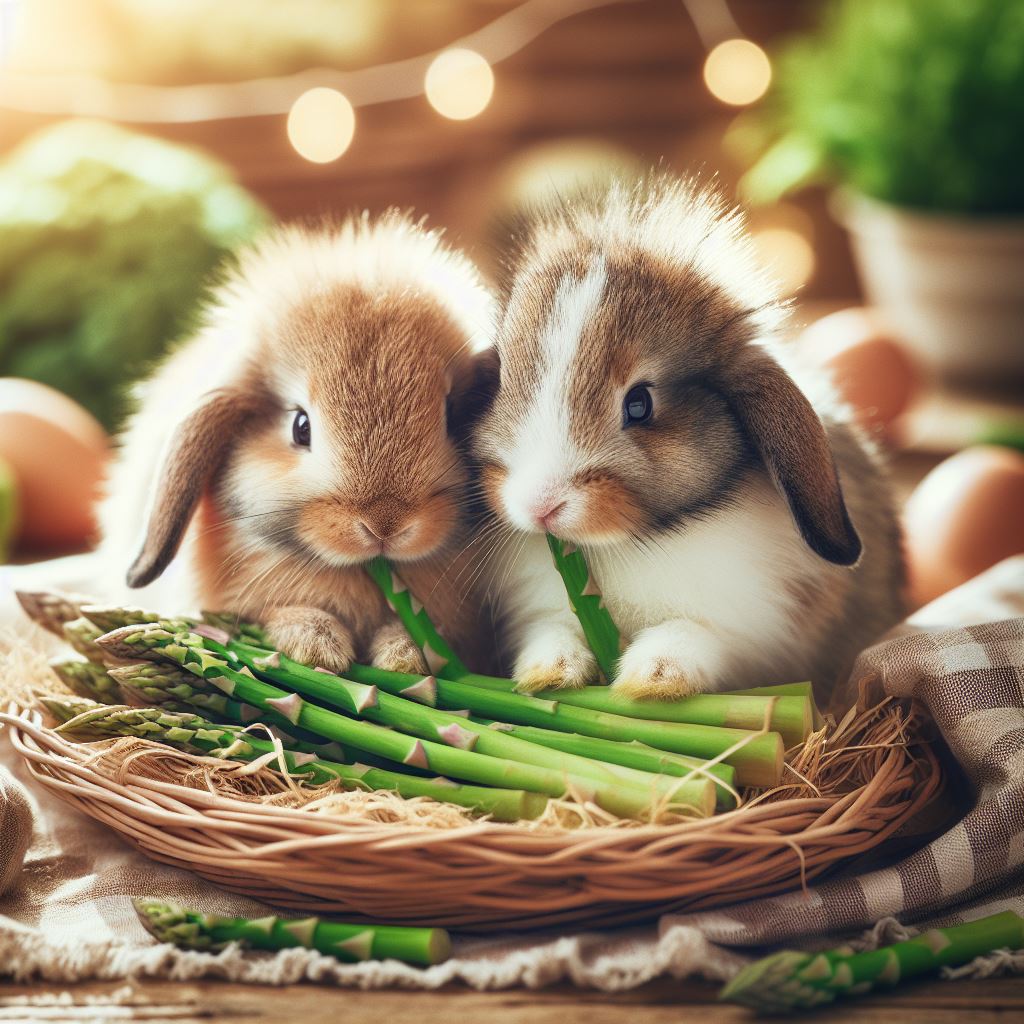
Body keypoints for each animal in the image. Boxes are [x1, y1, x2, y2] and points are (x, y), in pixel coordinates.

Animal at [471, 178, 905, 704]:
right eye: (500, 381)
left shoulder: (747, 629)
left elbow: (691, 635)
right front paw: (548, 672)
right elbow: (552, 631)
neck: (636, 544)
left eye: (640, 404)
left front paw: (652, 679)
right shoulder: (539, 610)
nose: (539, 506)